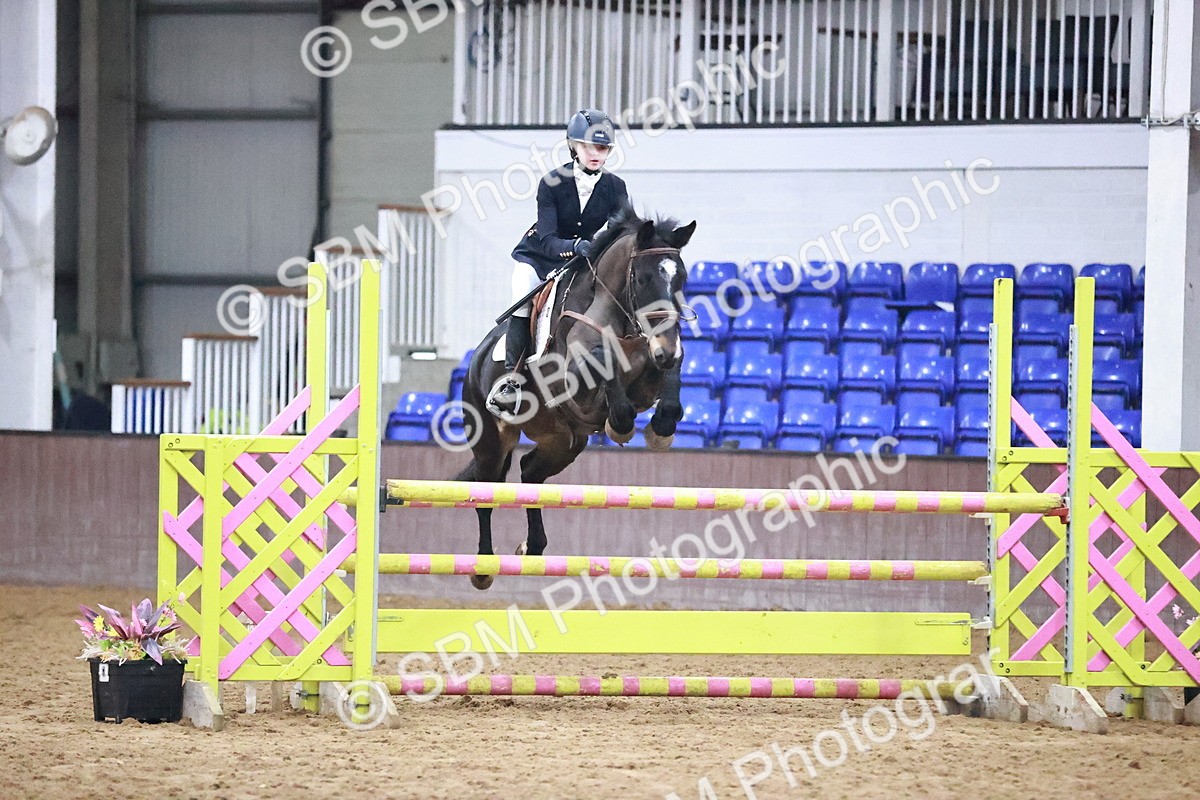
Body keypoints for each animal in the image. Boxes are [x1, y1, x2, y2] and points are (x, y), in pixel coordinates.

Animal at [456, 207, 696, 589]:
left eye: (681, 279)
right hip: (490, 442)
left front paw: (660, 430)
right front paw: (620, 427)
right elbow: (604, 363)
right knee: (486, 490)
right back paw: (482, 569)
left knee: (530, 473)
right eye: (643, 279)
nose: (667, 347)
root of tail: (474, 361)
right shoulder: (575, 386)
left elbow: (669, 385)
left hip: (562, 443)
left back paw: (531, 547)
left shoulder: (650, 377)